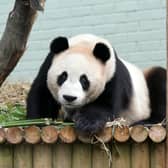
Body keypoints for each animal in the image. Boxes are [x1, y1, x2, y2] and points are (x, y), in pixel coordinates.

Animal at [26, 34, 166, 135]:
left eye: (84, 80)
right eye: (63, 76)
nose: (69, 97)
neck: (87, 44)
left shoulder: (112, 75)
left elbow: (105, 104)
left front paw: (86, 123)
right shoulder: (48, 64)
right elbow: (42, 94)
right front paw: (39, 121)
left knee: (159, 80)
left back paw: (146, 122)